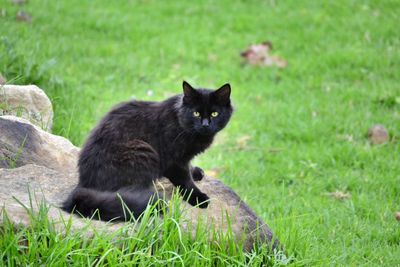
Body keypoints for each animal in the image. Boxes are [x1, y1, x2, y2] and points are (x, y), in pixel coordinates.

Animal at [61, 81, 233, 222]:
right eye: (196, 113)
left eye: (215, 114)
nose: (205, 124)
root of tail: (84, 184)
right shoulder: (174, 162)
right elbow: (185, 181)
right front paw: (199, 198)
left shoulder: (183, 159)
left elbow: (189, 171)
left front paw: (196, 172)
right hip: (142, 152)